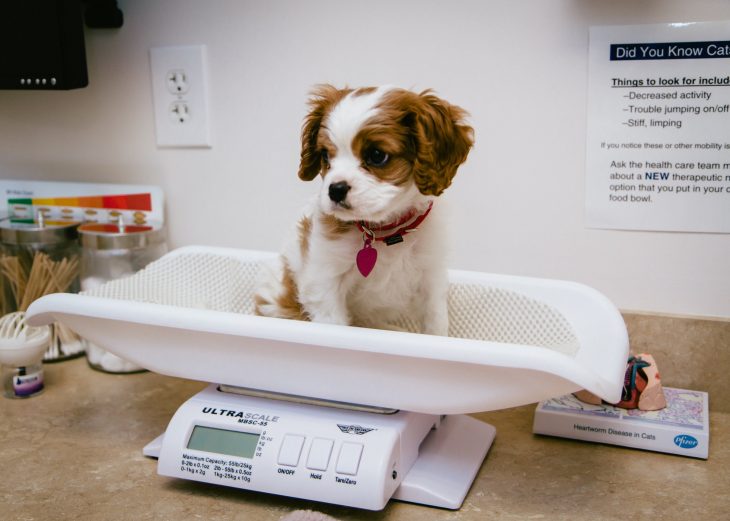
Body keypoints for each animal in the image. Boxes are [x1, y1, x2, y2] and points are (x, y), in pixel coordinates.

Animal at [255, 84, 472, 338]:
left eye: (377, 155)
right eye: (325, 155)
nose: (335, 189)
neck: (384, 232)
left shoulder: (431, 278)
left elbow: (435, 324)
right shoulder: (325, 283)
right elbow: (333, 322)